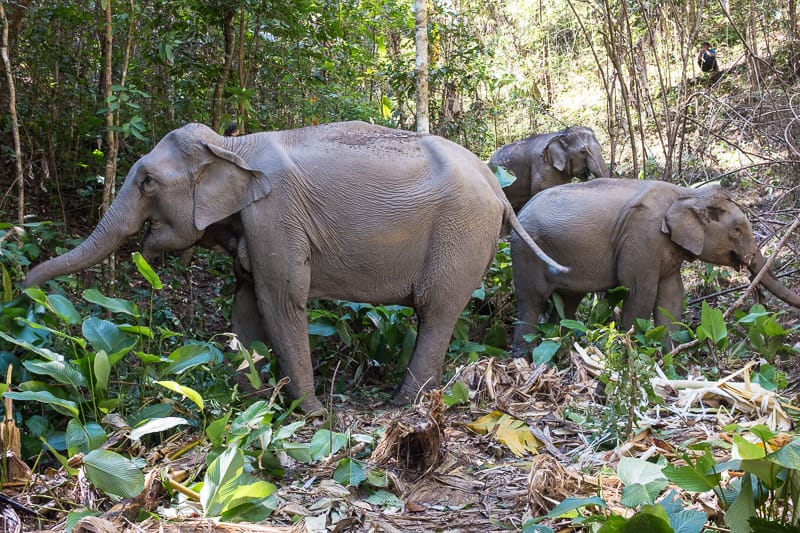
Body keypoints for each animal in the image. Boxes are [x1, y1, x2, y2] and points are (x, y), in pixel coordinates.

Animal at [22, 121, 566, 414]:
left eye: (148, 182)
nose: (25, 292)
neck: (233, 146)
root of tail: (496, 186)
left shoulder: (276, 217)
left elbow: (281, 300)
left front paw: (310, 414)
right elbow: (245, 302)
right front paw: (249, 402)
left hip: (461, 233)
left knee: (435, 310)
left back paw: (402, 405)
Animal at [509, 178, 800, 356]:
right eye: (737, 230)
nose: (760, 301)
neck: (685, 193)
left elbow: (671, 296)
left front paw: (670, 354)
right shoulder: (642, 239)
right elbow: (640, 293)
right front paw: (630, 351)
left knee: (567, 303)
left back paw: (561, 345)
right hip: (526, 252)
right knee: (531, 301)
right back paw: (524, 356)